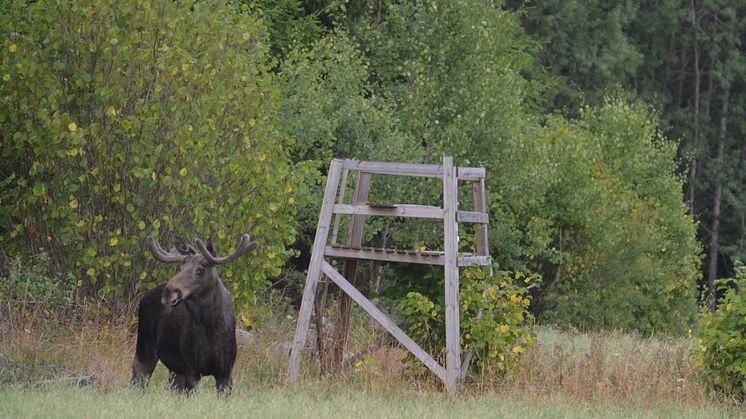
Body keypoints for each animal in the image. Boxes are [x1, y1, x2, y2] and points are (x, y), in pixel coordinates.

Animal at [133, 235, 258, 396]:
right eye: (181, 268)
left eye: (200, 269)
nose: (169, 292)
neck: (211, 328)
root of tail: (145, 296)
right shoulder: (192, 370)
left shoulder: (225, 373)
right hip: (145, 349)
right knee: (137, 381)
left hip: (175, 369)